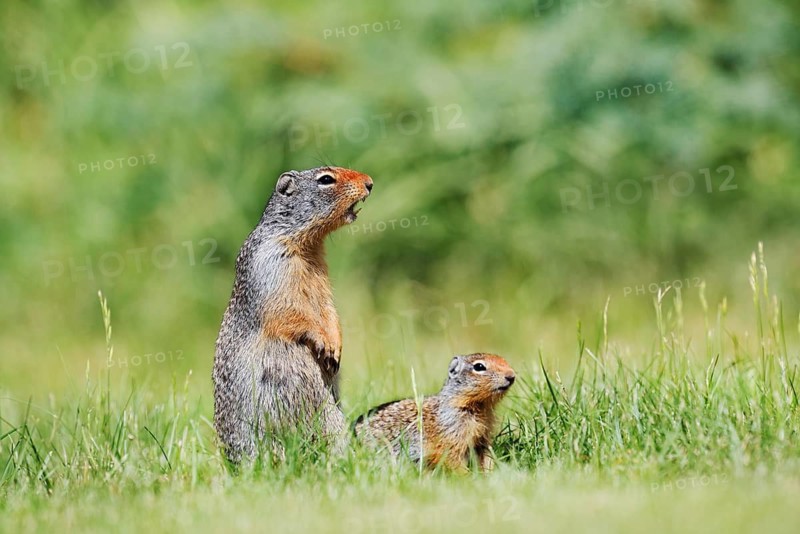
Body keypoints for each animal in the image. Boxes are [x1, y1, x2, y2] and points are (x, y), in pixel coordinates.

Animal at [213, 166, 373, 462]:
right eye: (326, 179)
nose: (369, 183)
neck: (304, 243)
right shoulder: (272, 266)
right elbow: (289, 312)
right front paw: (325, 344)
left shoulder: (322, 278)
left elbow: (328, 309)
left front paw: (336, 346)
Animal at [354, 353, 515, 472]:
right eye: (479, 366)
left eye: (504, 360)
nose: (511, 376)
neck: (481, 407)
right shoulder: (451, 436)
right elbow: (452, 459)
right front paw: (468, 478)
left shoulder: (482, 438)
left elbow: (486, 456)